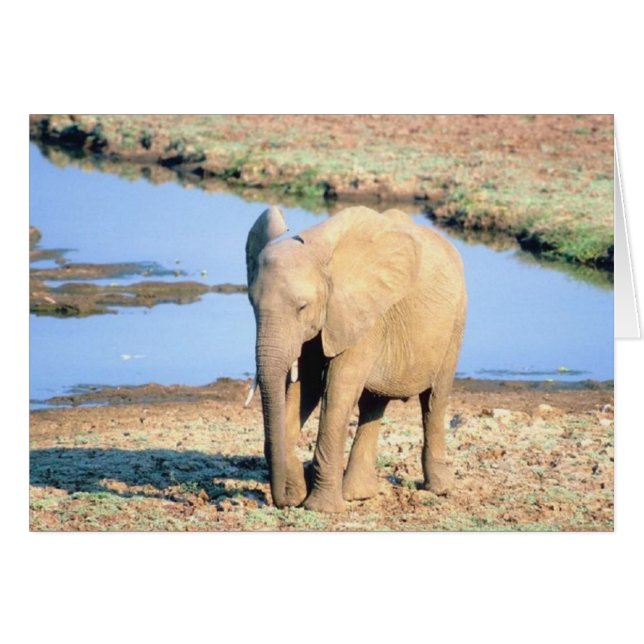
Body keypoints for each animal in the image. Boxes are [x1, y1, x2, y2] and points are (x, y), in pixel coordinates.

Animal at [245, 205, 466, 513]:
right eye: (251, 304)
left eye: (302, 307)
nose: (283, 501)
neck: (319, 248)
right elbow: (307, 387)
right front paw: (299, 491)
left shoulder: (360, 313)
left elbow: (337, 389)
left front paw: (320, 508)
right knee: (373, 403)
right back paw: (358, 494)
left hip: (454, 324)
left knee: (434, 399)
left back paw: (439, 489)